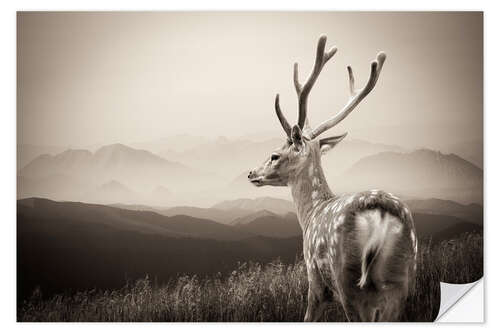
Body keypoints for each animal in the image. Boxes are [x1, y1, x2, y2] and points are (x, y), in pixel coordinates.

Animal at [247, 35, 418, 320]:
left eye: (274, 155)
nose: (252, 173)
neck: (310, 214)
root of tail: (381, 213)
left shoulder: (314, 279)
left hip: (348, 280)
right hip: (402, 280)